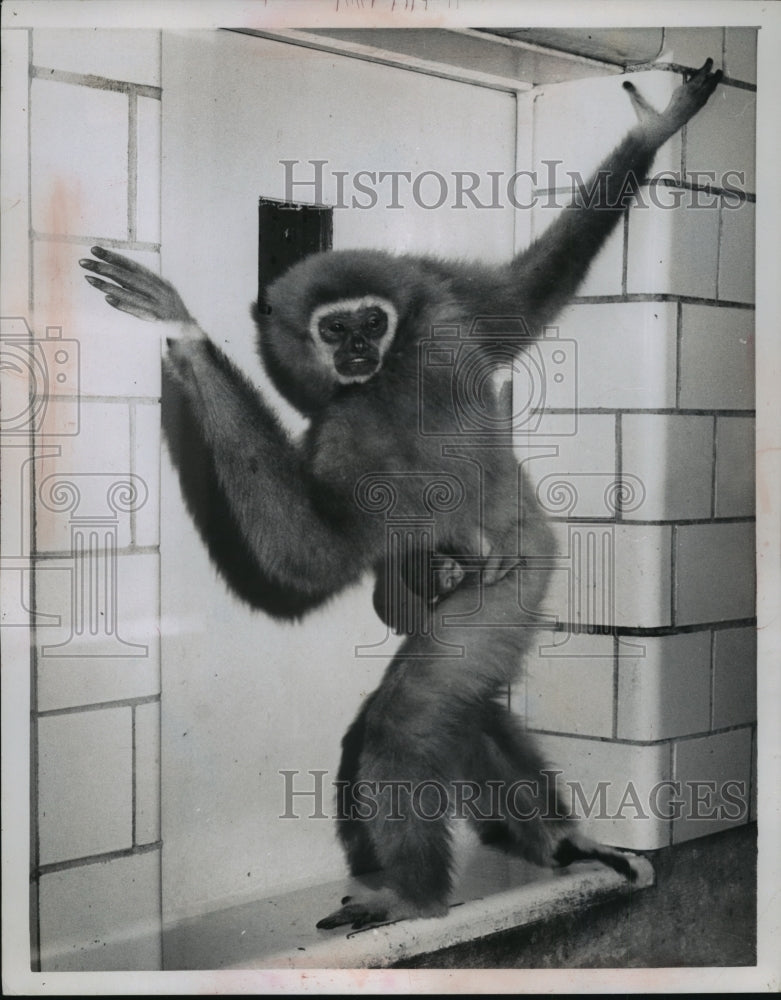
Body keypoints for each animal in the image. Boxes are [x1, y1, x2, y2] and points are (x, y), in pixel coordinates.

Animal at [80, 61, 722, 930]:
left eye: (367, 321)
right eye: (334, 327)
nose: (354, 348)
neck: (393, 363)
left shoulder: (382, 381)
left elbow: (313, 558)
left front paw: (183, 329)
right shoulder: (433, 324)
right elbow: (520, 298)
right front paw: (654, 129)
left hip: (508, 587)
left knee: (407, 718)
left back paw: (413, 896)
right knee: (469, 702)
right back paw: (560, 844)